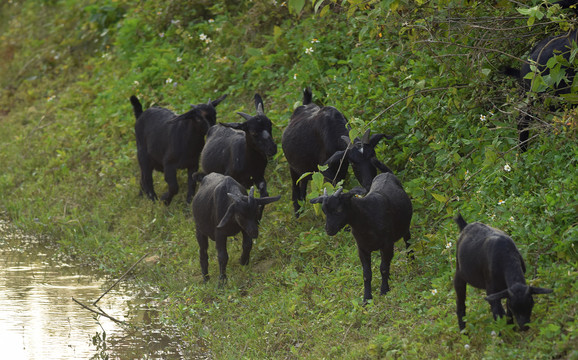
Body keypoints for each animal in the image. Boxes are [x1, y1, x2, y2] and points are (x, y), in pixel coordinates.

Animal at [280, 87, 390, 217]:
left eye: (373, 156)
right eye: (353, 163)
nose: (369, 184)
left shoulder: (341, 166)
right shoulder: (326, 170)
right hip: (293, 168)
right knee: (296, 187)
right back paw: (297, 214)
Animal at [308, 173, 412, 302]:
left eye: (339, 209)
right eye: (324, 210)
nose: (329, 229)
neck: (367, 219)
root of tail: (386, 174)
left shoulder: (387, 244)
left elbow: (383, 268)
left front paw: (384, 290)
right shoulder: (362, 248)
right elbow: (367, 274)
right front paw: (366, 298)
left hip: (405, 228)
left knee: (408, 243)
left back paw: (411, 263)